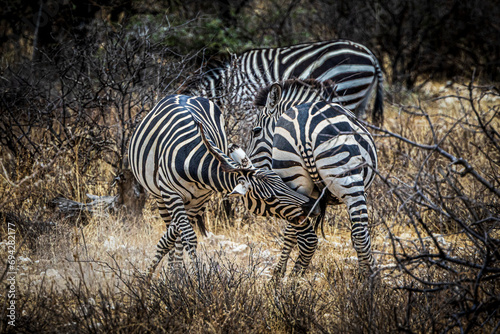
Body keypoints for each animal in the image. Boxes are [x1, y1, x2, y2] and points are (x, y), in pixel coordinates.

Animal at [127, 94, 318, 276]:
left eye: (280, 180)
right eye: (269, 198)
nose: (311, 207)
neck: (195, 160)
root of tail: (183, 95)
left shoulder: (201, 198)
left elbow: (174, 236)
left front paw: (173, 275)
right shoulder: (170, 194)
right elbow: (186, 236)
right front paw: (189, 278)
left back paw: (175, 270)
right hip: (159, 196)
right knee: (174, 229)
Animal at [248, 79, 376, 276]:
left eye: (255, 131)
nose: (248, 168)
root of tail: (304, 128)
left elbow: (290, 233)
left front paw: (279, 273)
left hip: (295, 179)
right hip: (347, 178)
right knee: (360, 234)